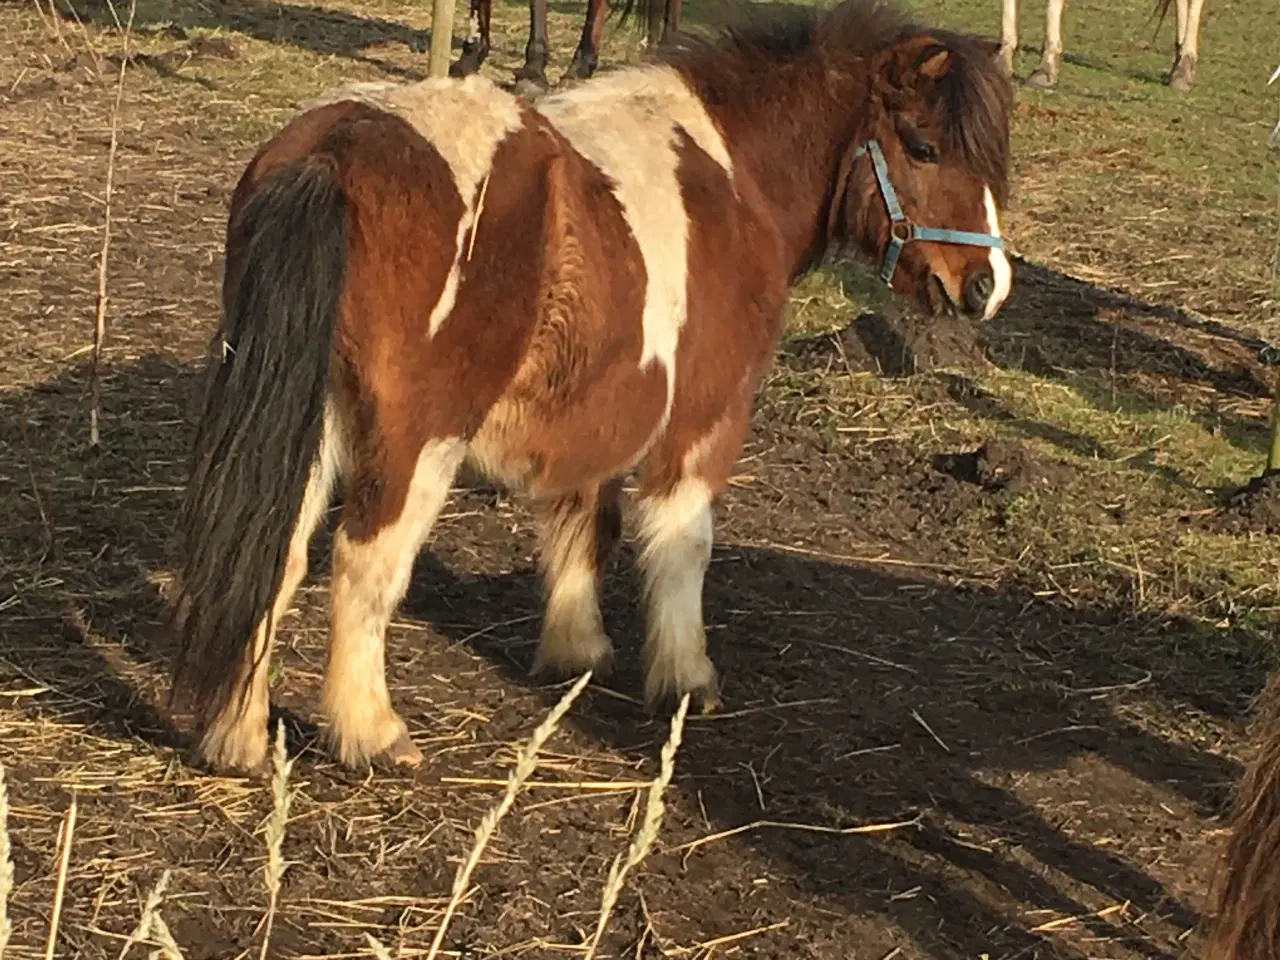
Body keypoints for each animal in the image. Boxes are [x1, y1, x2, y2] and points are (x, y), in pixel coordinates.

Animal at [170, 0, 1013, 773]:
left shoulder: (603, 408)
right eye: (925, 147)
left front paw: (577, 648)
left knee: (274, 551)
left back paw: (239, 736)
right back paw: (371, 733)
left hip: (315, 422)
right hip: (418, 439)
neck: (732, 174)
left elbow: (585, 524)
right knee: (364, 561)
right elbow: (681, 541)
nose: (986, 287)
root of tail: (334, 153)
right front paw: (684, 676)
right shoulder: (706, 416)